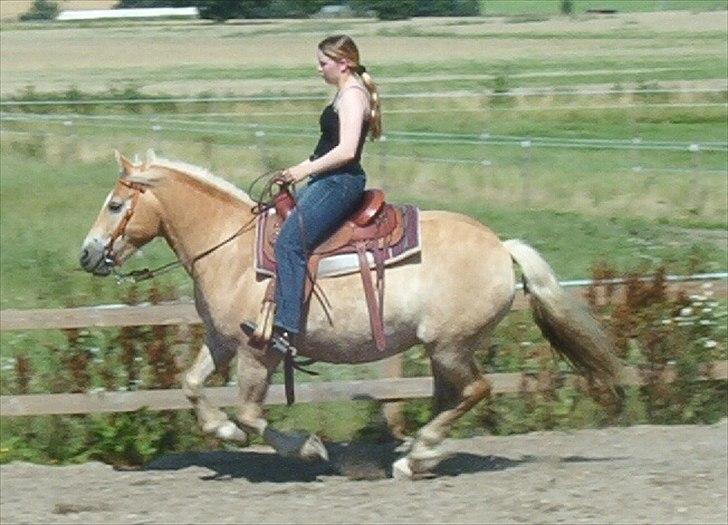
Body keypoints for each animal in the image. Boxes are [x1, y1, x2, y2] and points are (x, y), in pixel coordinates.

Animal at [79, 148, 624, 478]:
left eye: (115, 205)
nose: (87, 255)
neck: (229, 249)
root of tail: (500, 246)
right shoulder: (220, 341)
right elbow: (192, 388)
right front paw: (224, 432)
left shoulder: (258, 350)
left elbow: (251, 412)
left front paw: (306, 448)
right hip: (442, 350)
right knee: (451, 396)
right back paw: (418, 453)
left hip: (451, 346)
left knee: (475, 390)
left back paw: (418, 454)